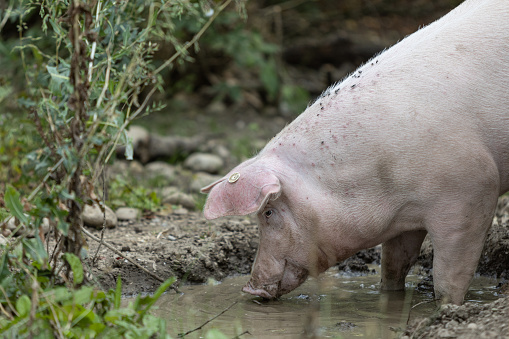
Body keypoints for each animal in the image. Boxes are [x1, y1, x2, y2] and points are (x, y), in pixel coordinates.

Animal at [201, 0, 508, 306]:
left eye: (267, 212)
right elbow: (394, 264)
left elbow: (448, 275)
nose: (249, 289)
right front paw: (389, 297)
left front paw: (446, 309)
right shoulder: (407, 218)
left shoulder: (472, 192)